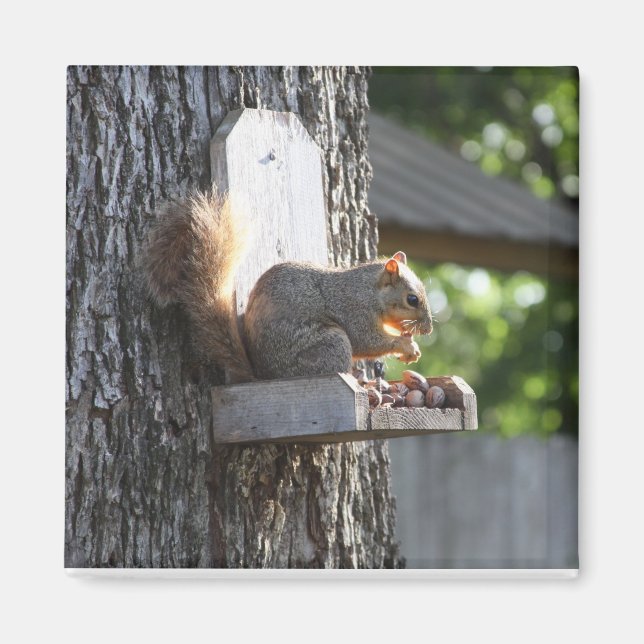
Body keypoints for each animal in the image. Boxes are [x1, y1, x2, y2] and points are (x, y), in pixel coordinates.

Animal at [143, 188, 433, 383]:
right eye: (412, 299)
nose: (428, 329)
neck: (370, 291)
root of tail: (265, 376)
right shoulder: (353, 308)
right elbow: (367, 340)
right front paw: (405, 345)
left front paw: (410, 341)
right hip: (329, 345)